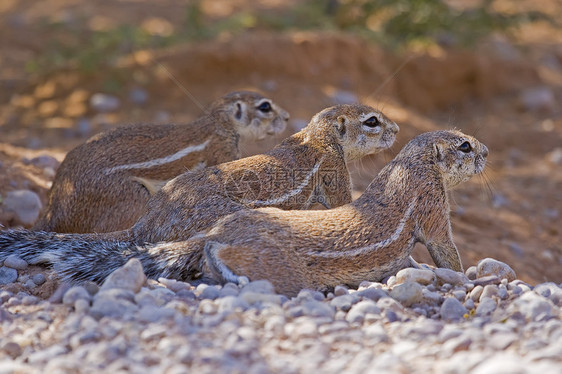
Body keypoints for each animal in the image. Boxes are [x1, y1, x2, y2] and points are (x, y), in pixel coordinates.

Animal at [33, 90, 288, 234]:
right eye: (265, 107)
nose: (286, 118)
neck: (217, 124)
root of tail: (53, 212)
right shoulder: (222, 152)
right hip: (131, 197)